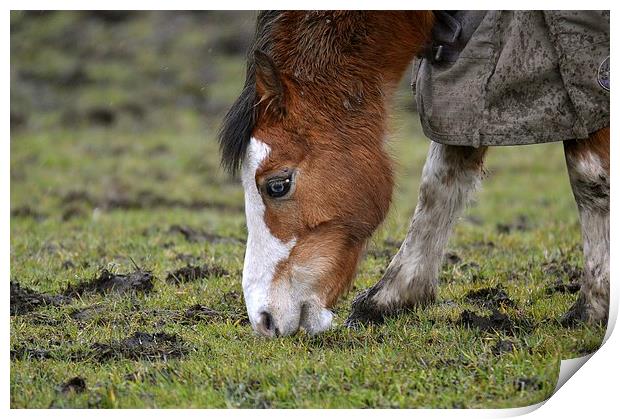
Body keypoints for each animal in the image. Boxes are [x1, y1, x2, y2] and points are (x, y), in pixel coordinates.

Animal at [219, 10, 612, 338]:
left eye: (277, 185)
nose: (263, 320)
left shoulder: (585, 77)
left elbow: (590, 178)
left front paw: (592, 308)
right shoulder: (465, 83)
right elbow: (441, 179)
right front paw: (393, 297)